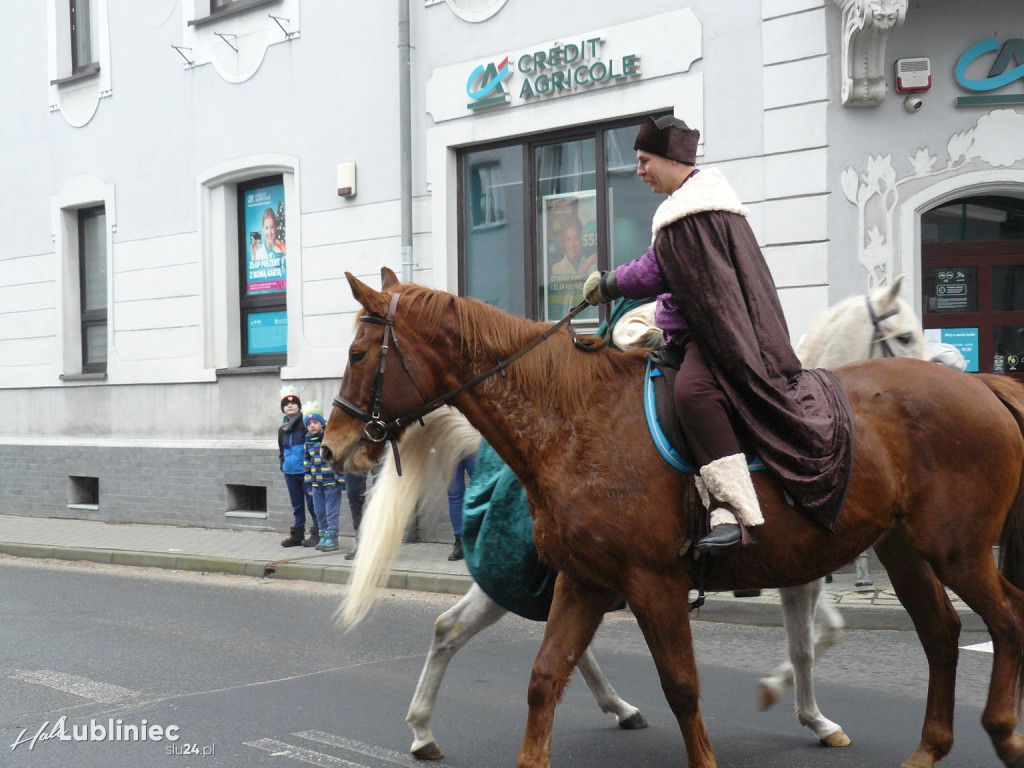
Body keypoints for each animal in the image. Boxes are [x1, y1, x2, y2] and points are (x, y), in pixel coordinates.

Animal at [321, 268, 1024, 765]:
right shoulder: (592, 578)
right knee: (946, 632)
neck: (575, 415)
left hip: (952, 550)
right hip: (916, 551)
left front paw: (805, 712)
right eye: (903, 332)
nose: (331, 446)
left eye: (357, 354)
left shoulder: (656, 579)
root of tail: (985, 387)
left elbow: (708, 677)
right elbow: (547, 677)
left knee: (997, 622)